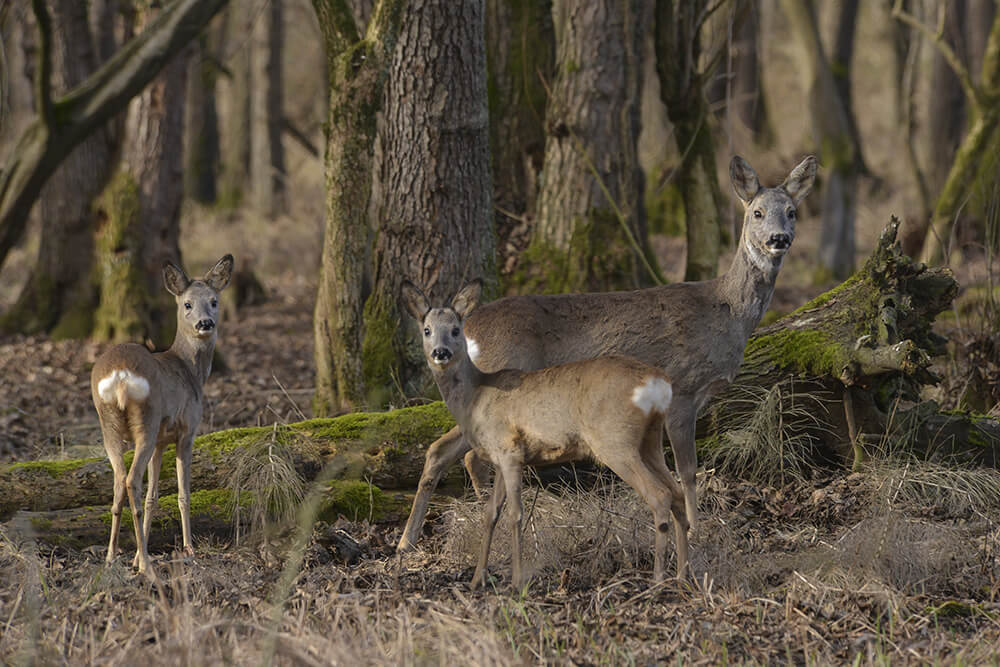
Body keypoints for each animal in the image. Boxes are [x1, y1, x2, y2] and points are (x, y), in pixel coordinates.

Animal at [90, 256, 234, 580]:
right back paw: (146, 564)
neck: (191, 371)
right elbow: (183, 493)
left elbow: (153, 496)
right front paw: (189, 548)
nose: (205, 323)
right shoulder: (186, 431)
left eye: (214, 301)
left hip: (109, 423)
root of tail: (120, 376)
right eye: (187, 304)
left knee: (119, 481)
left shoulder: (160, 441)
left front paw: (133, 555)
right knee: (131, 480)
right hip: (147, 418)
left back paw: (112, 557)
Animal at [394, 155, 816, 552]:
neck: (727, 311)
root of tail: (471, 327)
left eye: (792, 211)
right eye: (757, 212)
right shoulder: (683, 386)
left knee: (446, 451)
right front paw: (700, 530)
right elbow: (689, 469)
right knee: (454, 451)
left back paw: (409, 540)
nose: (779, 238)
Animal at [402, 280, 692, 588]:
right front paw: (477, 579)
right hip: (650, 439)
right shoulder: (502, 456)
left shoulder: (508, 449)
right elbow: (490, 513)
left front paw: (517, 581)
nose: (440, 352)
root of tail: (658, 382)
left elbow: (515, 514)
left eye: (456, 329)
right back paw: (683, 575)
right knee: (676, 493)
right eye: (427, 330)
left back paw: (659, 579)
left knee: (659, 495)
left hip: (615, 440)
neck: (475, 396)